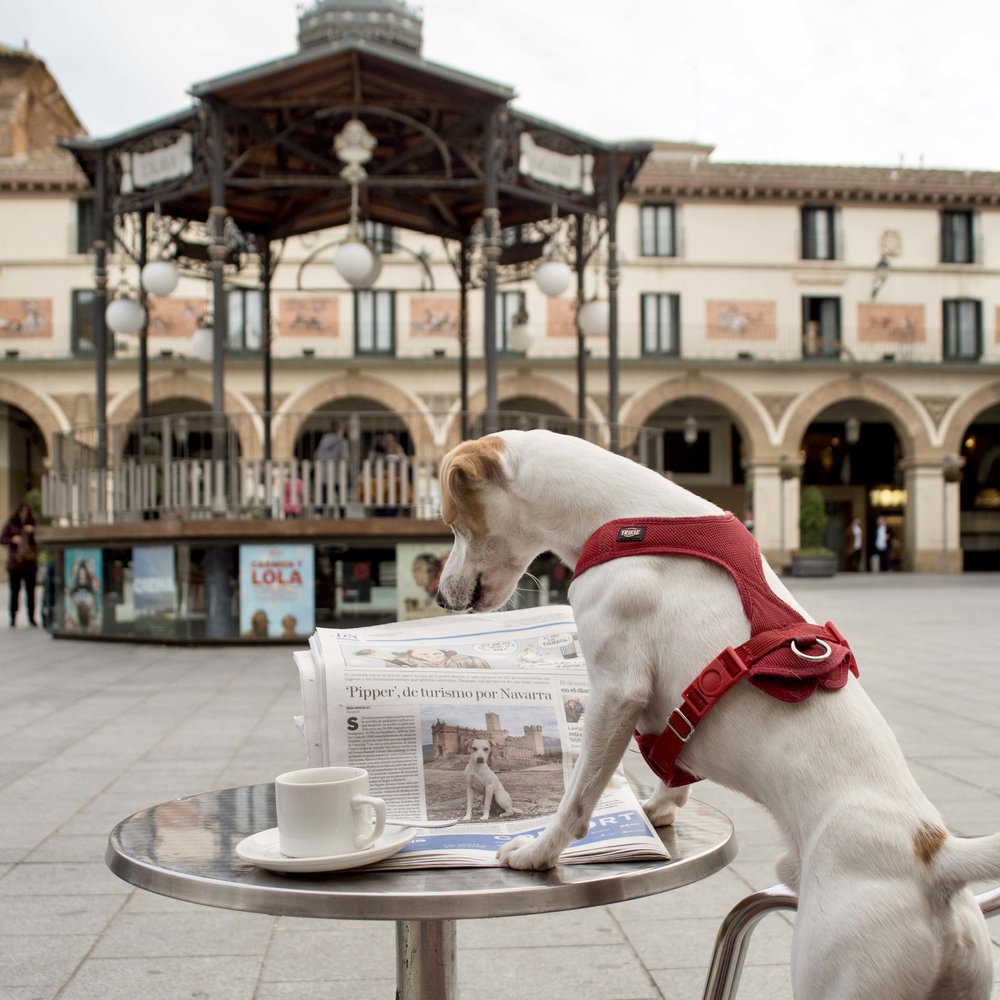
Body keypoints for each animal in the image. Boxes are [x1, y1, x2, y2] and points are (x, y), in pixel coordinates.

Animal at [438, 428, 1000, 1000]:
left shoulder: (615, 691)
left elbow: (577, 795)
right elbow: (671, 772)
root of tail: (935, 857)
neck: (625, 518)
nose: (439, 598)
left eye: (454, 523)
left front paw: (539, 852)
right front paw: (659, 807)